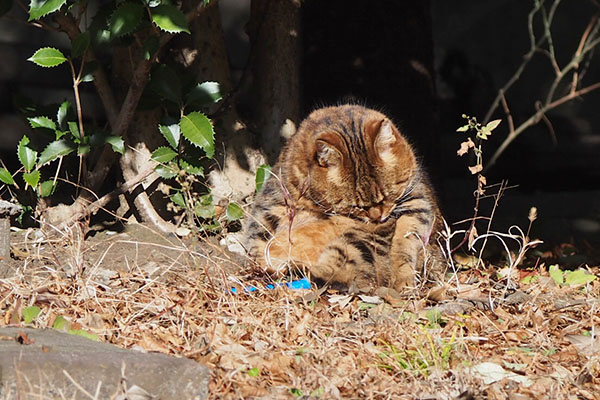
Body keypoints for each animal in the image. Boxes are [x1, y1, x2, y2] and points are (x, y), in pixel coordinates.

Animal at [244, 104, 446, 292]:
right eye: (356, 206)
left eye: (388, 197)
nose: (377, 217)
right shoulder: (273, 201)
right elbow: (257, 234)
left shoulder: (416, 199)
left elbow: (404, 241)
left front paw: (402, 276)